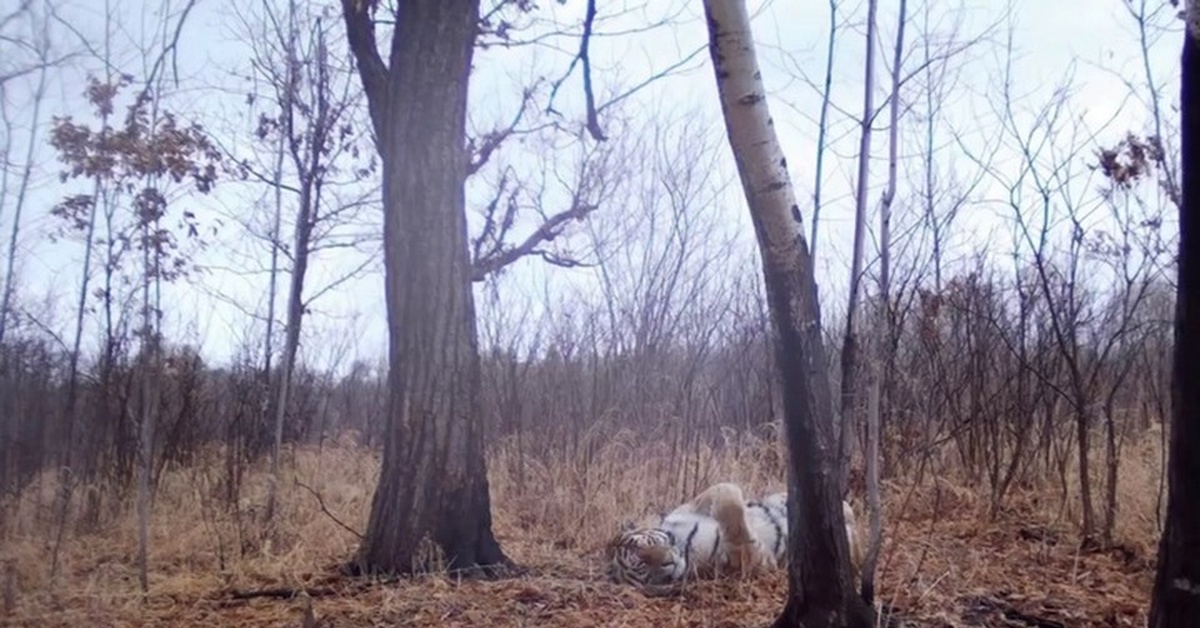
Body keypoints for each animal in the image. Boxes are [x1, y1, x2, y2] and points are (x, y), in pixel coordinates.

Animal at [604, 482, 859, 595]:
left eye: (647, 546)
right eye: (644, 567)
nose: (668, 561)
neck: (685, 548)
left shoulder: (690, 505)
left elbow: (725, 490)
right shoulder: (745, 564)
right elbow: (748, 547)